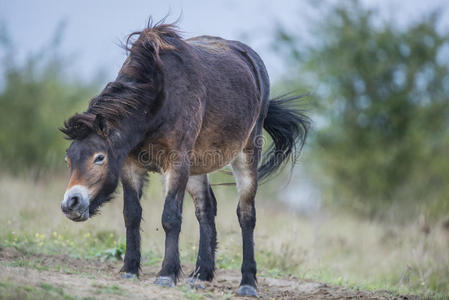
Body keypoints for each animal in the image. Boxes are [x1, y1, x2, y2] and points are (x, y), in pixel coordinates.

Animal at [59, 19, 308, 298]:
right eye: (68, 160)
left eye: (99, 158)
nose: (71, 203)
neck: (157, 99)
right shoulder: (130, 166)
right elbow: (131, 214)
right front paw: (130, 269)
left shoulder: (176, 164)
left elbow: (170, 217)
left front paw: (166, 274)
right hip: (198, 166)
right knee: (206, 210)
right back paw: (200, 275)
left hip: (245, 155)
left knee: (246, 214)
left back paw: (247, 283)